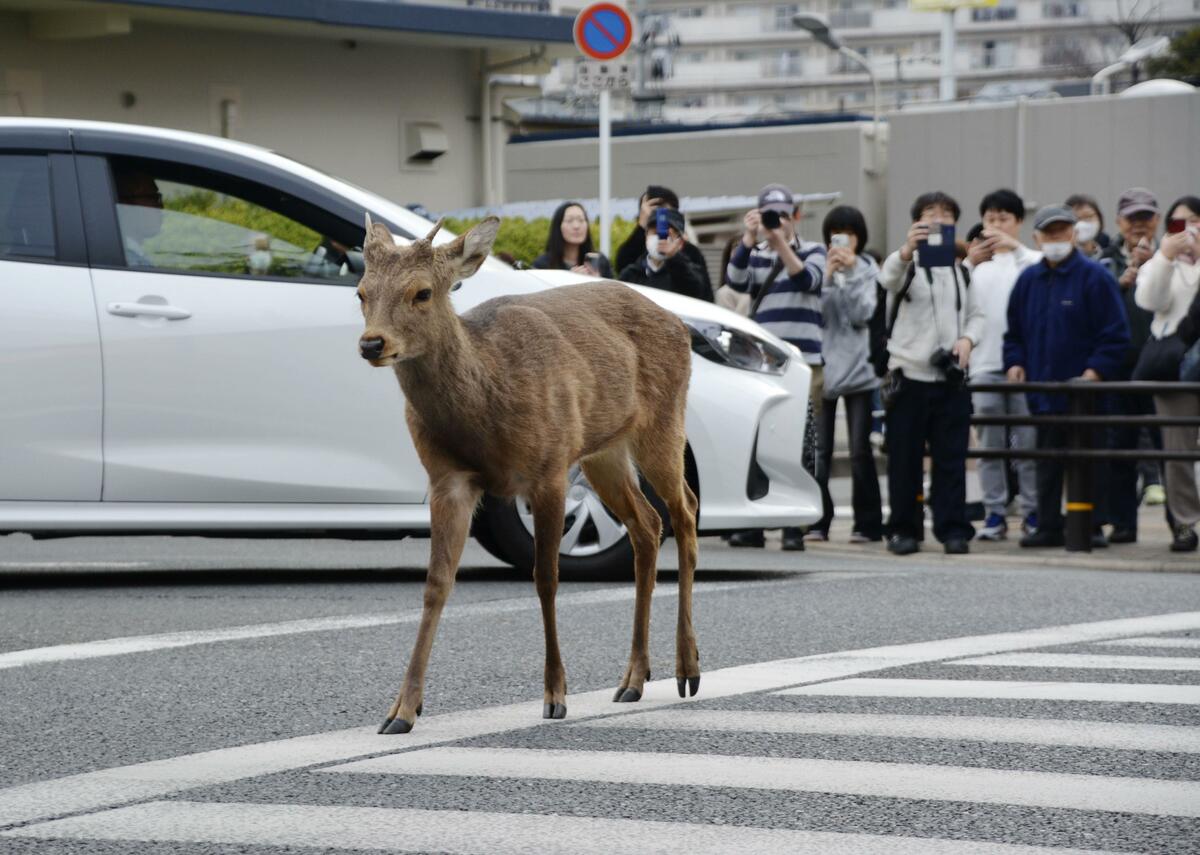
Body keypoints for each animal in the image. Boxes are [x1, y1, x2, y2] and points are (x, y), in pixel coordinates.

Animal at [356, 214, 701, 735]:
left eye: (422, 292)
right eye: (360, 292)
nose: (372, 343)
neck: (485, 407)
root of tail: (682, 326)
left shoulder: (549, 467)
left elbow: (546, 578)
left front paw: (556, 695)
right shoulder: (447, 479)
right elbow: (436, 584)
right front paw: (402, 710)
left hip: (662, 422)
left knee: (686, 511)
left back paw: (688, 669)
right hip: (603, 451)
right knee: (647, 523)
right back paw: (633, 679)